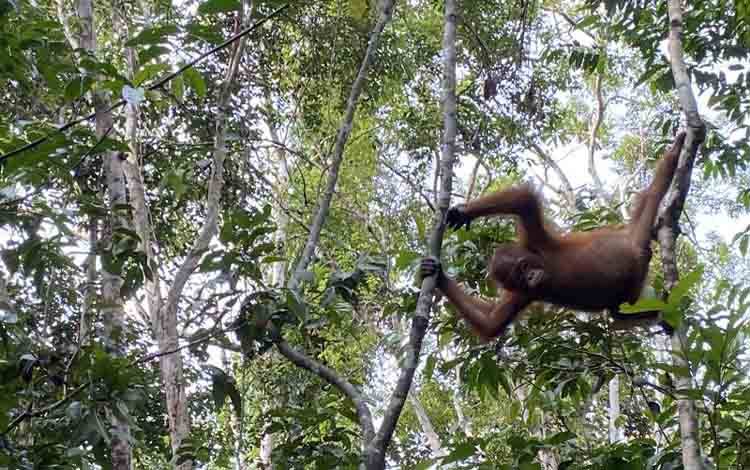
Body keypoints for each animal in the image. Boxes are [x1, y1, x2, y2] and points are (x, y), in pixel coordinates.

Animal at [420, 132, 687, 340]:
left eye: (523, 267)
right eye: (518, 278)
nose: (530, 277)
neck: (545, 265)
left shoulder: (537, 241)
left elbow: (523, 201)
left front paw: (463, 213)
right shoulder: (524, 294)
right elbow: (491, 323)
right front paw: (437, 274)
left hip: (636, 242)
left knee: (653, 193)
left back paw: (674, 154)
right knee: (619, 313)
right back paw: (658, 315)